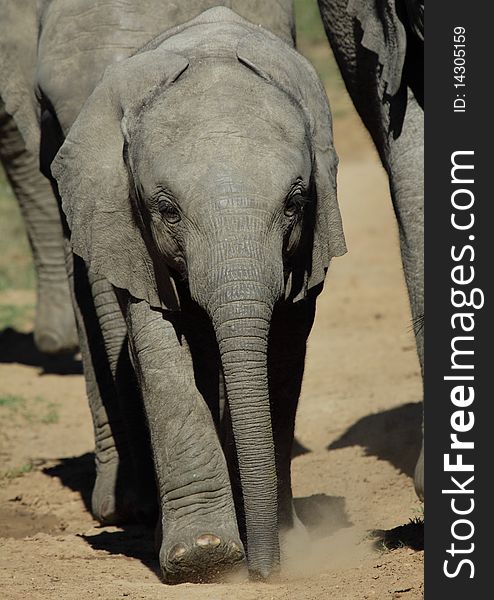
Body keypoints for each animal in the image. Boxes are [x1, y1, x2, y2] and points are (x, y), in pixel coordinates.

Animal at [2, 0, 348, 580]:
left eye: (296, 203)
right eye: (167, 210)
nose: (263, 573)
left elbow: (284, 351)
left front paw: (281, 544)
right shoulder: (129, 226)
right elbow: (160, 348)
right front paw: (204, 557)